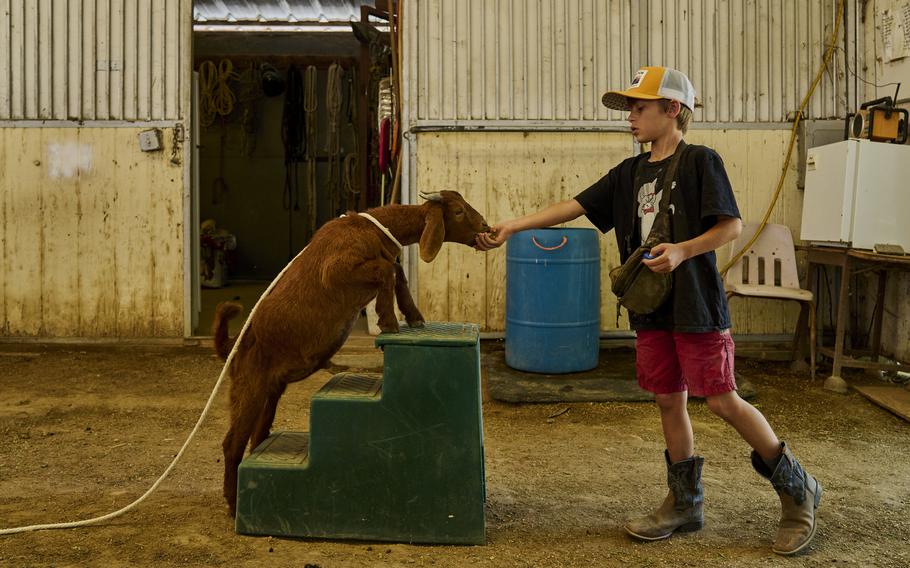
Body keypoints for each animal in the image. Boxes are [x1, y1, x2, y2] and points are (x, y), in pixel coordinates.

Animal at [214, 191, 492, 516]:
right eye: (458, 211)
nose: (486, 226)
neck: (371, 230)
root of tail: (234, 342)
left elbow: (396, 270)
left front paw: (412, 317)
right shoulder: (338, 268)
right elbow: (387, 269)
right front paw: (388, 321)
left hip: (271, 389)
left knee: (257, 436)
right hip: (248, 387)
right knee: (232, 443)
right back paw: (233, 503)